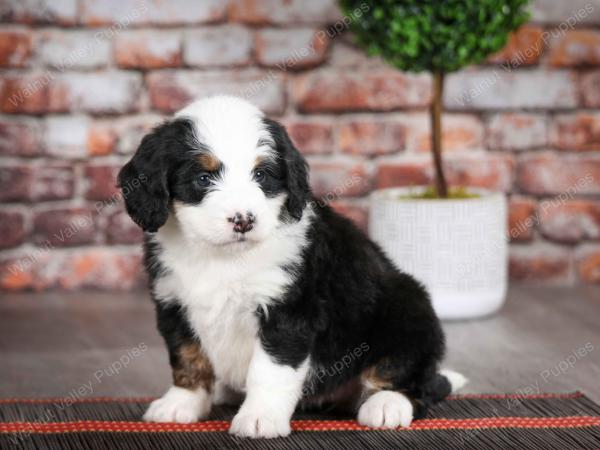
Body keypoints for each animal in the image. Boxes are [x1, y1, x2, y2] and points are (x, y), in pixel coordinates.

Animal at [116, 96, 464, 440]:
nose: (244, 220)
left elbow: (269, 370)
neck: (223, 257)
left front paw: (260, 418)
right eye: (203, 178)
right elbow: (187, 357)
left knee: (415, 382)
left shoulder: (288, 310)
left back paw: (386, 405)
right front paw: (181, 404)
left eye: (261, 175)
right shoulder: (174, 302)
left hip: (408, 310)